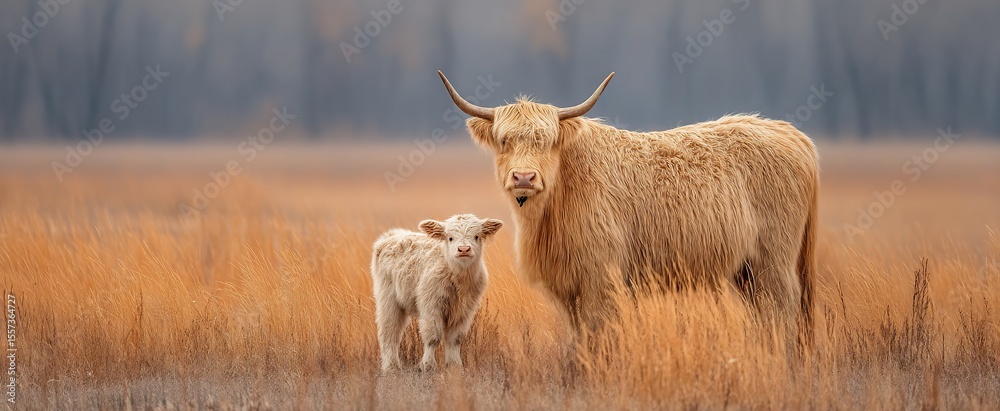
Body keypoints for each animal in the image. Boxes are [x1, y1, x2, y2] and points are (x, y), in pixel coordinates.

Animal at [437, 71, 818, 342]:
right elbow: (579, 337)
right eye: (504, 141)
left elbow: (600, 332)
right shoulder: (569, 285)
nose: (524, 177)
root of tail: (791, 133)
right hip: (746, 270)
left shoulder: (600, 278)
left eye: (545, 141)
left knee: (783, 308)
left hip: (774, 259)